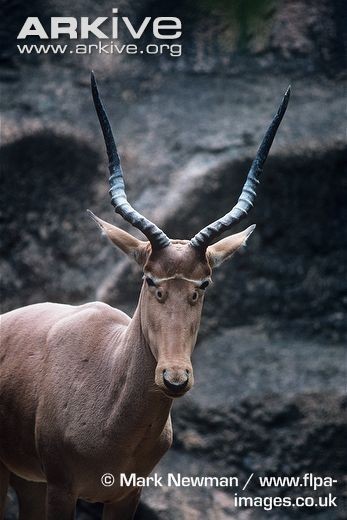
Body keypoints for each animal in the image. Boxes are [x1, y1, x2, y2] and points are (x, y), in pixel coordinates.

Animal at [0, 74, 290, 520]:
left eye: (203, 284)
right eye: (150, 279)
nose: (174, 378)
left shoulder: (127, 494)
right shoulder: (62, 490)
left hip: (28, 482)